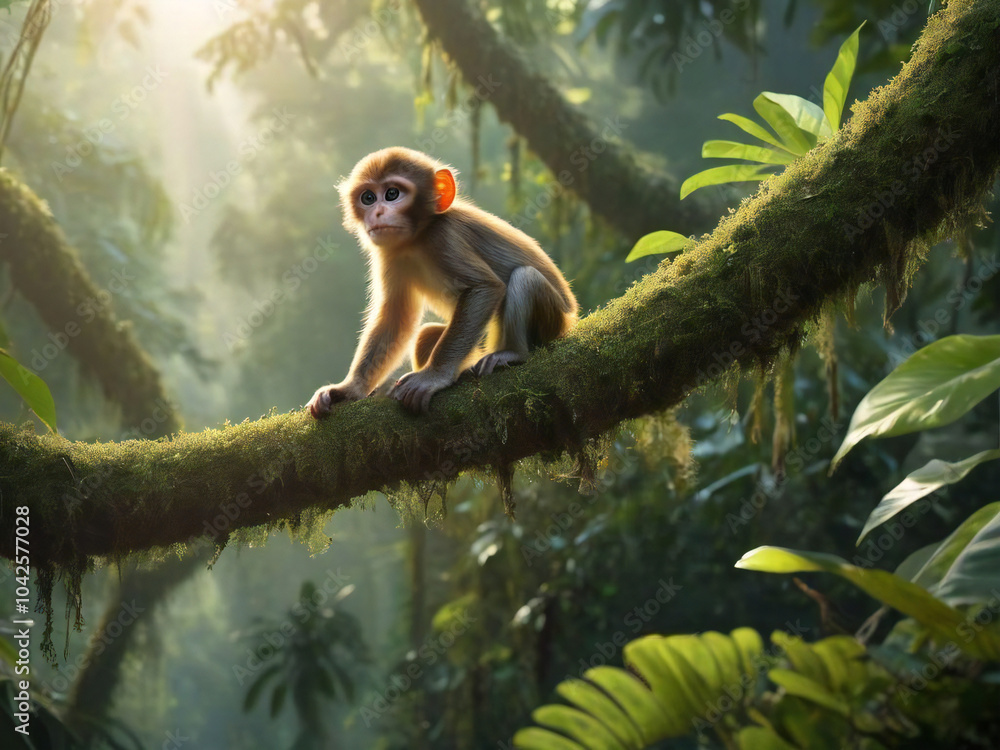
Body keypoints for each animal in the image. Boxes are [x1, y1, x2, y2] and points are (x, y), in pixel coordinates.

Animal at [308, 147, 578, 416]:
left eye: (392, 194)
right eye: (368, 197)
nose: (377, 212)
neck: (417, 238)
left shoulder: (444, 236)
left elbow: (484, 287)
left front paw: (433, 376)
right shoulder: (390, 253)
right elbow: (395, 316)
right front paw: (349, 389)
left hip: (554, 321)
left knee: (525, 277)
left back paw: (514, 353)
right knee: (426, 334)